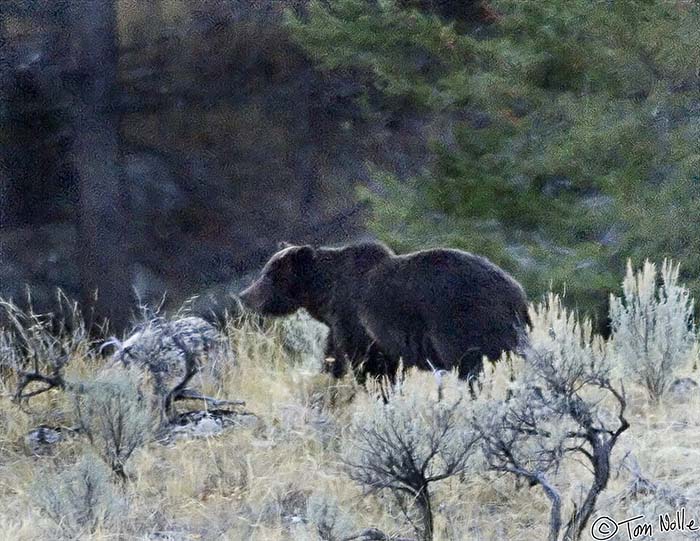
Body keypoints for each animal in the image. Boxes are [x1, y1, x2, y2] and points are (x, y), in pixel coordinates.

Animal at [241, 240, 532, 380]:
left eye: (268, 275)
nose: (245, 296)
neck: (327, 292)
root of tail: (517, 292)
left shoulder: (355, 317)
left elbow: (368, 364)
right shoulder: (340, 325)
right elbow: (335, 358)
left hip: (464, 321)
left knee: (470, 363)